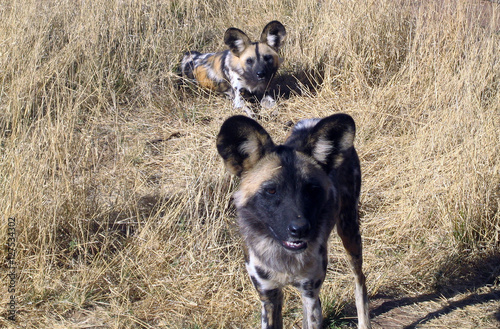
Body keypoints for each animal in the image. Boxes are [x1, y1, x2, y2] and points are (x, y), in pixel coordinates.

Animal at [217, 113, 370, 328]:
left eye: (312, 190)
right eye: (271, 190)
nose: (300, 229)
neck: (284, 257)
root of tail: (314, 120)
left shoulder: (309, 293)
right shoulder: (269, 296)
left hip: (350, 232)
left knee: (360, 280)